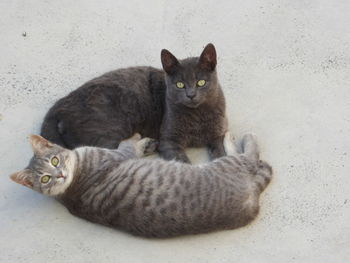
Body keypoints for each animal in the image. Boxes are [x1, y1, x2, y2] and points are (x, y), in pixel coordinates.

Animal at [9, 133, 272, 238]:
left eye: (55, 160)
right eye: (45, 179)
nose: (60, 175)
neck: (70, 188)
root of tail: (252, 201)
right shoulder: (118, 155)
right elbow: (127, 145)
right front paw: (138, 140)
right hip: (229, 165)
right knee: (251, 155)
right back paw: (241, 137)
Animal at [41, 43, 227, 163]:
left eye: (201, 82)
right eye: (179, 84)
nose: (191, 95)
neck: (198, 115)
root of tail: (57, 108)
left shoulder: (218, 135)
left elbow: (221, 154)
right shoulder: (169, 140)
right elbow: (182, 162)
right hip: (112, 127)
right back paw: (147, 146)